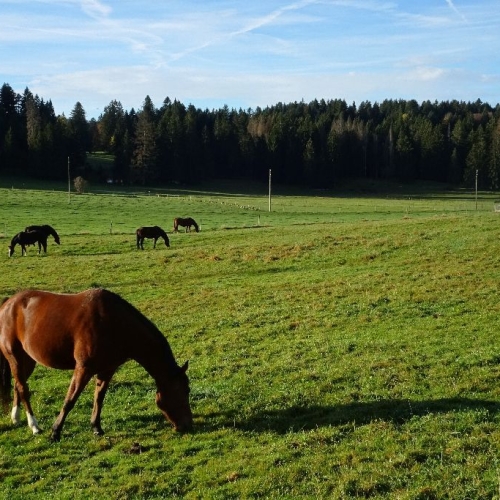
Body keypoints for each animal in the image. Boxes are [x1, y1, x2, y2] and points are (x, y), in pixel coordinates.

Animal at [0, 288, 192, 440]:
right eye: (183, 391)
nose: (188, 424)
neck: (114, 323)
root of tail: (8, 303)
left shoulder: (107, 369)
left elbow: (99, 398)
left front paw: (96, 427)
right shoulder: (83, 369)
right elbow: (70, 400)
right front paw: (55, 432)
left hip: (28, 360)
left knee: (18, 385)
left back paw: (16, 418)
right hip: (15, 357)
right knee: (23, 388)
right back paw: (34, 426)